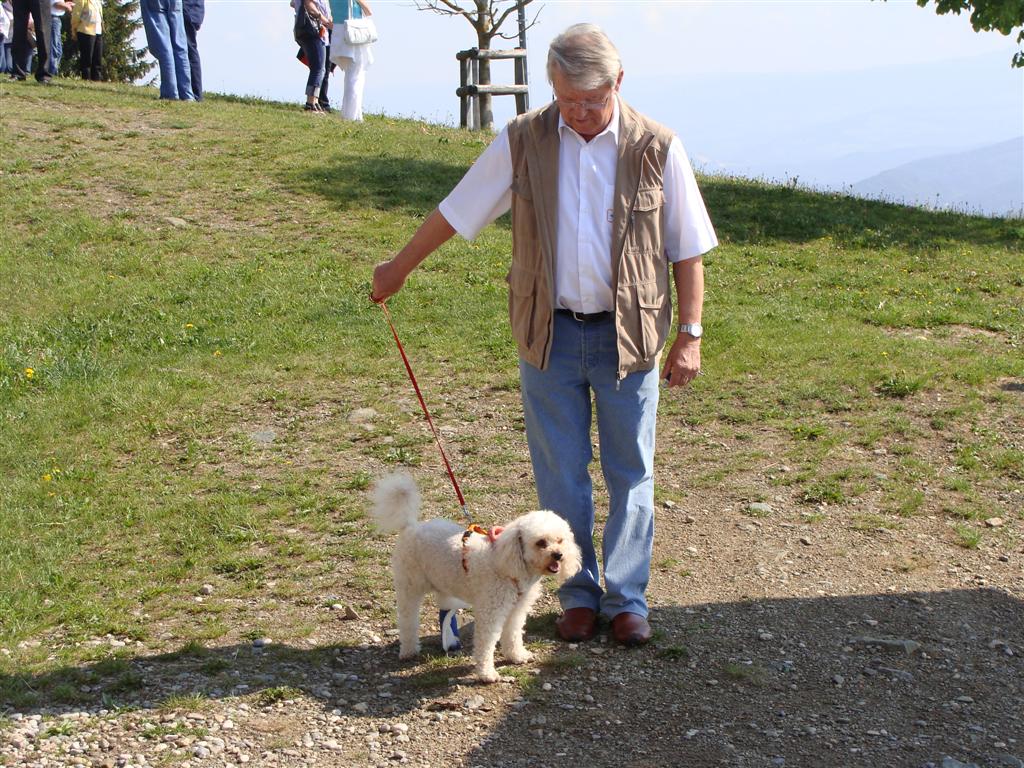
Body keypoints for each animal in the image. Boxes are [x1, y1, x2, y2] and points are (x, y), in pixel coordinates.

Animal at [370, 475, 581, 684]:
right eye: (540, 543)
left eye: (560, 540)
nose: (559, 555)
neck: (510, 566)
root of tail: (411, 526)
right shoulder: (491, 612)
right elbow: (486, 644)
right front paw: (487, 673)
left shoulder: (516, 610)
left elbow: (513, 634)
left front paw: (516, 656)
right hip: (409, 587)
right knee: (408, 620)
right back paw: (409, 650)